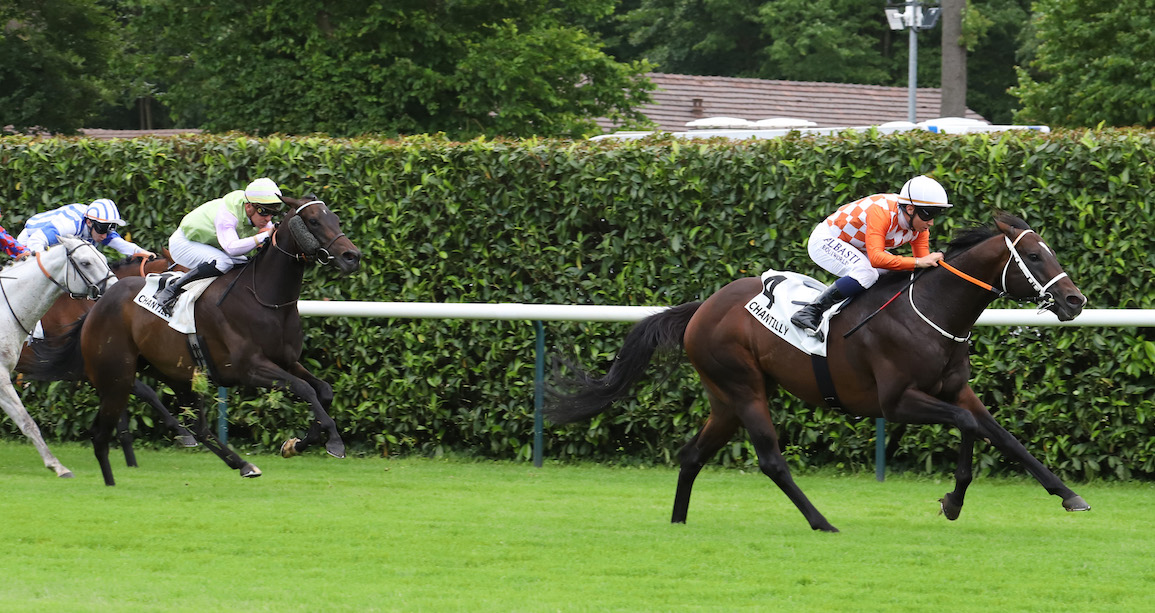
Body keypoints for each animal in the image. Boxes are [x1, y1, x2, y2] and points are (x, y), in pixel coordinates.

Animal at [28, 195, 360, 484]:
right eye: (313, 221)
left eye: (335, 218)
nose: (352, 256)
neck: (264, 298)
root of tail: (97, 303)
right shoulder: (250, 368)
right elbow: (304, 389)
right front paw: (333, 441)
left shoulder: (287, 361)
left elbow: (323, 390)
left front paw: (297, 443)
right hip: (122, 368)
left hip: (175, 372)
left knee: (198, 426)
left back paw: (241, 463)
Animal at [549, 214, 1090, 533]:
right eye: (1035, 256)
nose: (1075, 300)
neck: (931, 313)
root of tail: (703, 306)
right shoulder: (897, 401)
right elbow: (969, 426)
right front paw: (953, 499)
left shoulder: (956, 389)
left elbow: (1002, 435)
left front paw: (1068, 496)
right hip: (744, 388)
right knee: (771, 461)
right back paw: (822, 522)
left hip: (725, 398)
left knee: (692, 455)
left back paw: (678, 522)